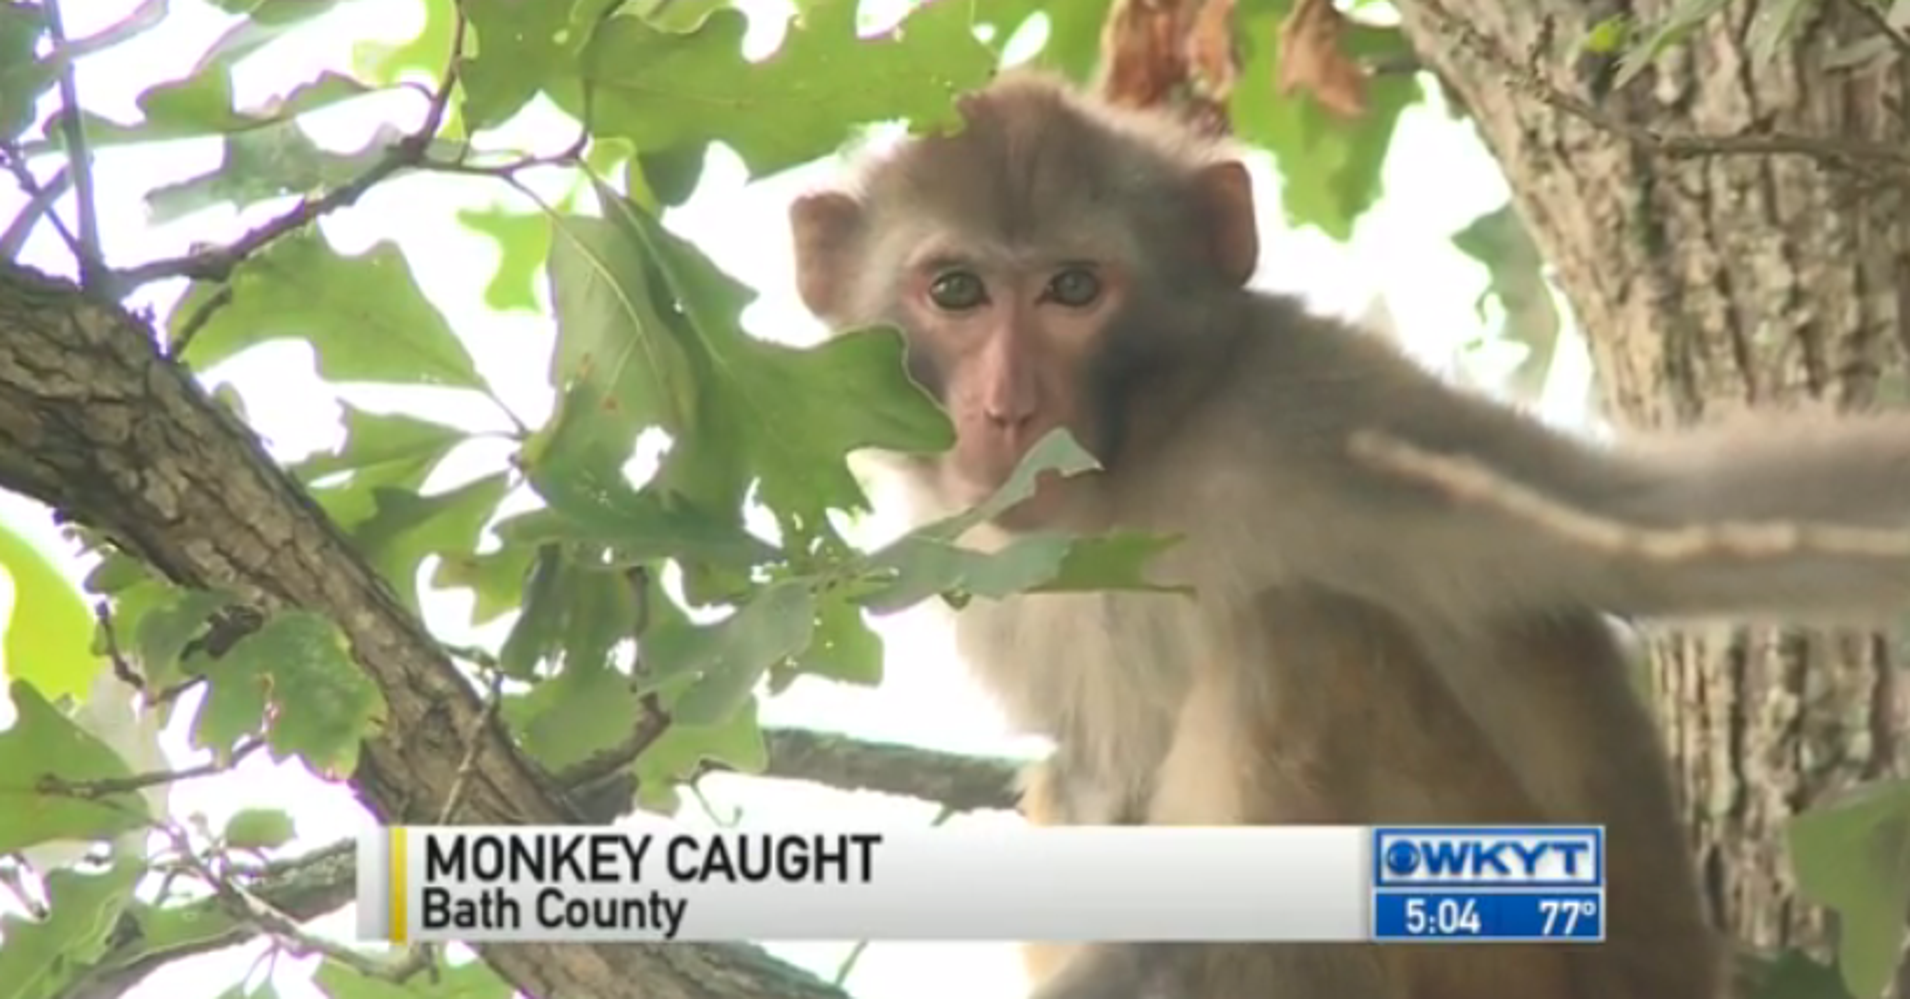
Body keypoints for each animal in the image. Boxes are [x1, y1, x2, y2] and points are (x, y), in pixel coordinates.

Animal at [788, 70, 1910, 999]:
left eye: (1073, 288)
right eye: (955, 291)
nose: (1010, 409)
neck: (1137, 474)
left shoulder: (1322, 414)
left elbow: (1662, 522)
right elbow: (1097, 774)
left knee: (1299, 643)